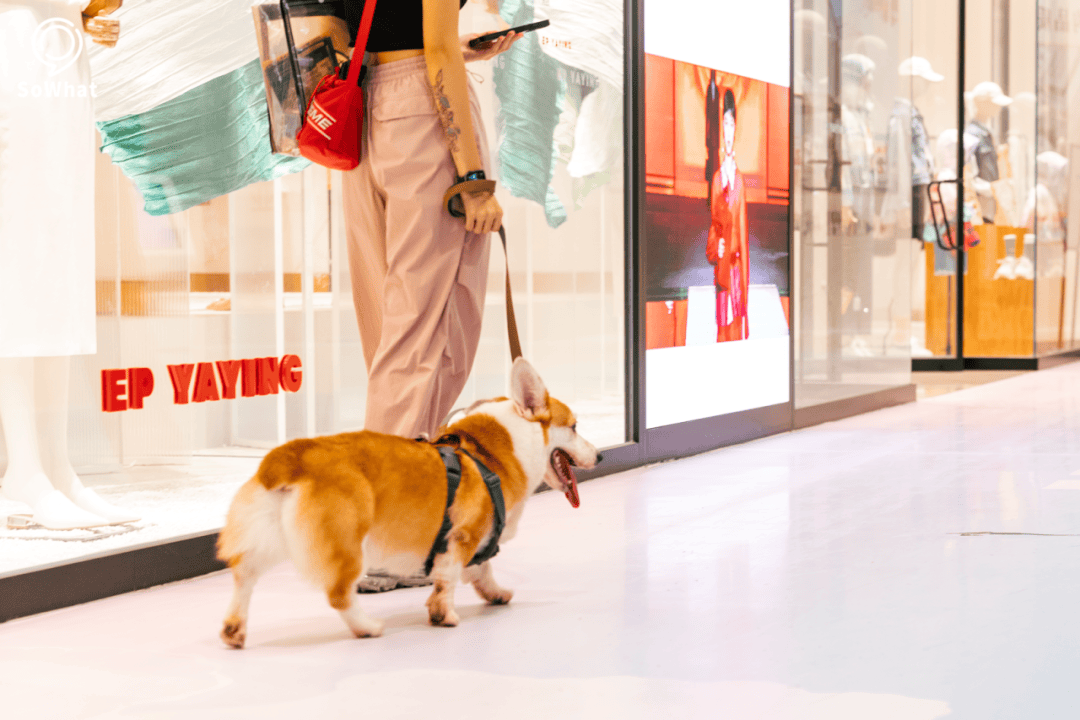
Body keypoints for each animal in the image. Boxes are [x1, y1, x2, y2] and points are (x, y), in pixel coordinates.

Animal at [213, 358, 596, 651]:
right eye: (575, 427)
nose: (601, 455)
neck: (490, 455)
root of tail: (290, 457)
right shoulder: (463, 536)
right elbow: (449, 579)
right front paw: (444, 615)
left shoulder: (475, 540)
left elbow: (482, 570)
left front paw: (496, 593)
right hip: (348, 544)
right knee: (338, 594)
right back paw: (367, 627)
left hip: (268, 537)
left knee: (244, 576)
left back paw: (234, 629)